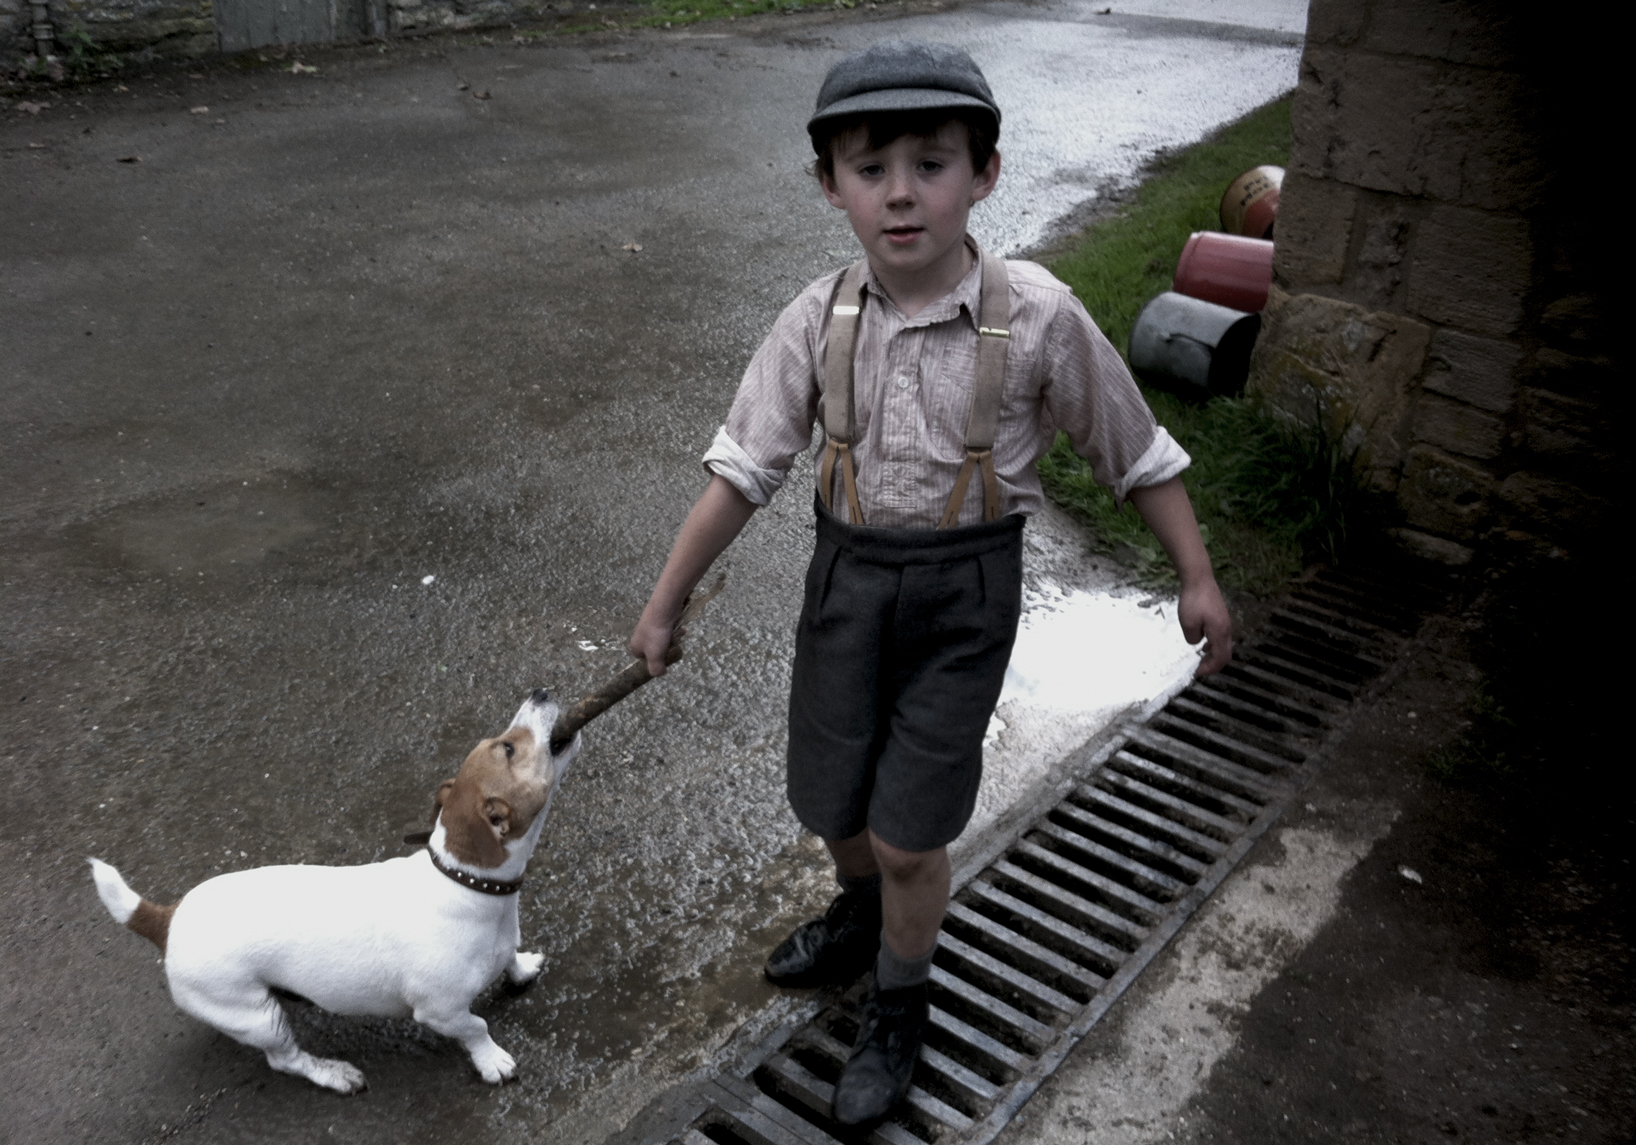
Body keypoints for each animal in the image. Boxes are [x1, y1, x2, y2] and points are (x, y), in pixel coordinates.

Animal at [91, 690, 582, 1092]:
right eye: (509, 748)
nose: (540, 691)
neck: (465, 881)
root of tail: (166, 918)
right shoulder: (441, 1011)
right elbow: (476, 1027)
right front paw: (491, 1061)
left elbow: (510, 961)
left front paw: (521, 967)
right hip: (254, 1015)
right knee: (285, 1060)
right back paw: (333, 1073)